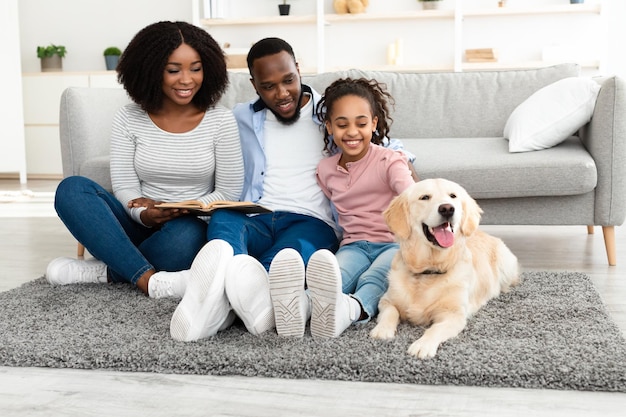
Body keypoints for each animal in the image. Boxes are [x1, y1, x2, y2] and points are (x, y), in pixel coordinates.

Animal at [368, 177, 520, 356]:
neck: (428, 270)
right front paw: (382, 330)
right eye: (425, 197)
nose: (447, 209)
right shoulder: (386, 300)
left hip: (505, 262)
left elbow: (435, 329)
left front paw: (422, 345)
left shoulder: (453, 315)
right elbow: (390, 312)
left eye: (453, 196)